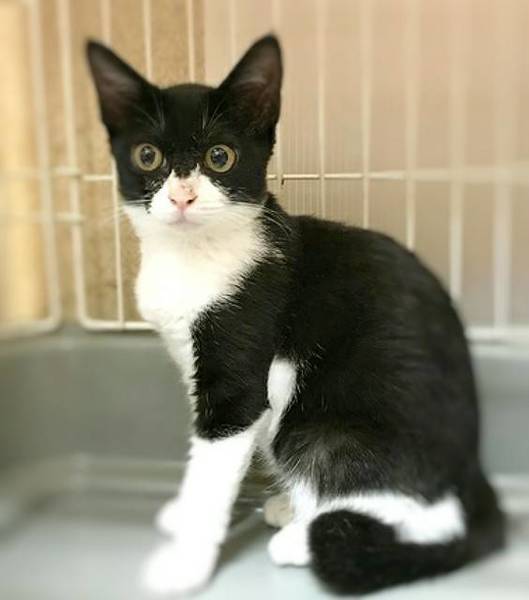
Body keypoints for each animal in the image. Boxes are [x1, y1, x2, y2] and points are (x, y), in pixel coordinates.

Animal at [87, 34, 505, 595]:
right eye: (147, 155)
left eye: (220, 156)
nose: (182, 195)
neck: (192, 256)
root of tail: (471, 475)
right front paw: (182, 513)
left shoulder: (242, 365)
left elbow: (214, 460)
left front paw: (185, 562)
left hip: (318, 430)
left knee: (421, 514)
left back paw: (303, 536)